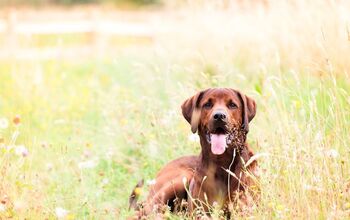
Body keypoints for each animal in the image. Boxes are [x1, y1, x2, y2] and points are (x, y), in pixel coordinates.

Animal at [130, 88, 258, 218]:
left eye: (232, 105)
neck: (222, 162)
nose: (219, 116)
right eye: (207, 104)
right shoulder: (201, 212)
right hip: (179, 180)